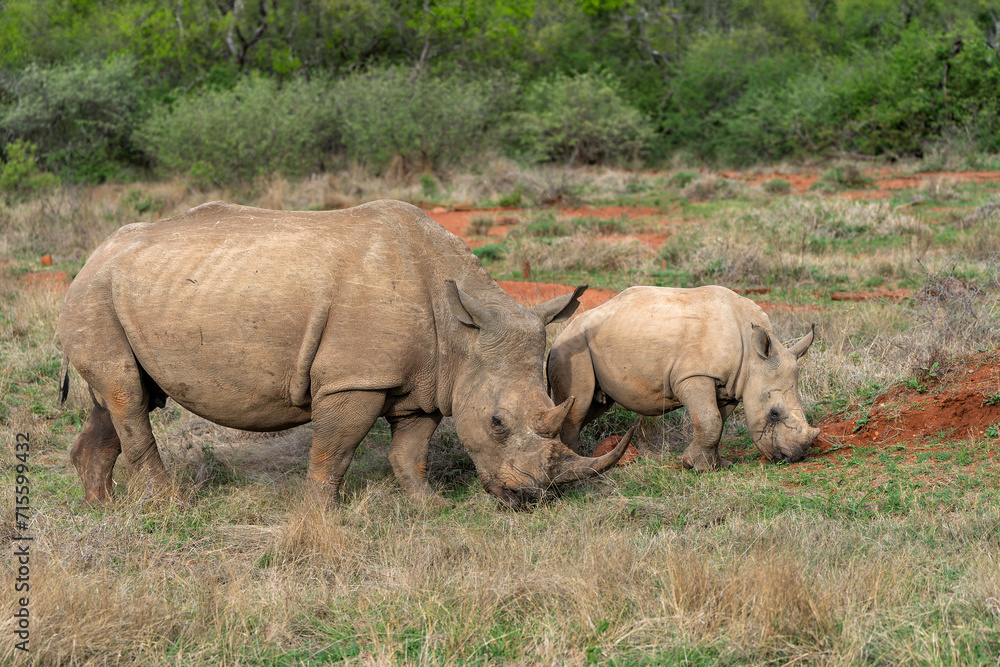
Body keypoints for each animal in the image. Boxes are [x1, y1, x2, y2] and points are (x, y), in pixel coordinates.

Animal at [58, 200, 631, 508]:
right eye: (496, 422)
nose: (530, 498)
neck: (462, 329)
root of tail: (91, 257)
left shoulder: (427, 380)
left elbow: (411, 451)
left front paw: (427, 506)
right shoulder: (355, 378)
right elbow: (334, 450)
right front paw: (320, 515)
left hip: (117, 296)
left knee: (119, 396)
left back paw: (101, 506)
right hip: (94, 296)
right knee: (127, 396)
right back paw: (170, 505)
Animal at [547, 285, 819, 469]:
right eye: (774, 413)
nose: (797, 456)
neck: (754, 358)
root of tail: (563, 332)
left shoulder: (732, 384)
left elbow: (717, 421)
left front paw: (714, 464)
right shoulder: (693, 375)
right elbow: (709, 420)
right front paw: (698, 467)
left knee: (593, 405)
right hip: (572, 349)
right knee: (578, 407)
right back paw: (576, 463)